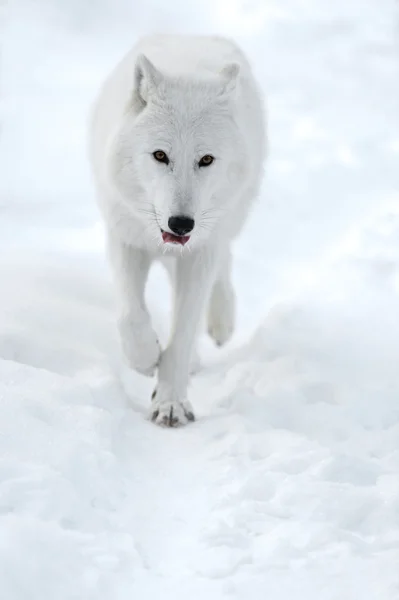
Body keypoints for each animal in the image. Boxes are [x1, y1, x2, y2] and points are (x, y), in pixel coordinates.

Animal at [89, 34, 268, 426]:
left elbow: (183, 331)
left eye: (206, 160)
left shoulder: (198, 251)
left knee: (221, 266)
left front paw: (171, 402)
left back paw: (221, 324)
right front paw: (145, 358)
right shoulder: (125, 238)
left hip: (224, 222)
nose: (181, 223)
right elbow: (131, 315)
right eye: (160, 155)